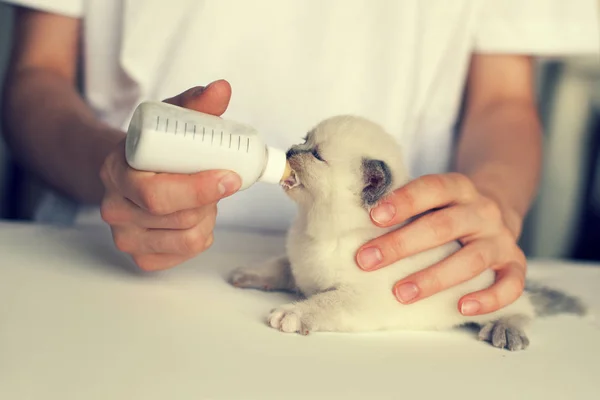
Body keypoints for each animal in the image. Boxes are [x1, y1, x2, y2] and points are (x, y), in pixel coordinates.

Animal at [229, 115, 584, 350]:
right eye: (304, 140)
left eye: (316, 155)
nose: (290, 151)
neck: (315, 228)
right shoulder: (299, 267)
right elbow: (278, 266)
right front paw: (247, 274)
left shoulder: (359, 300)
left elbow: (321, 304)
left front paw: (290, 313)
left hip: (486, 297)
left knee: (524, 309)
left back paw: (506, 331)